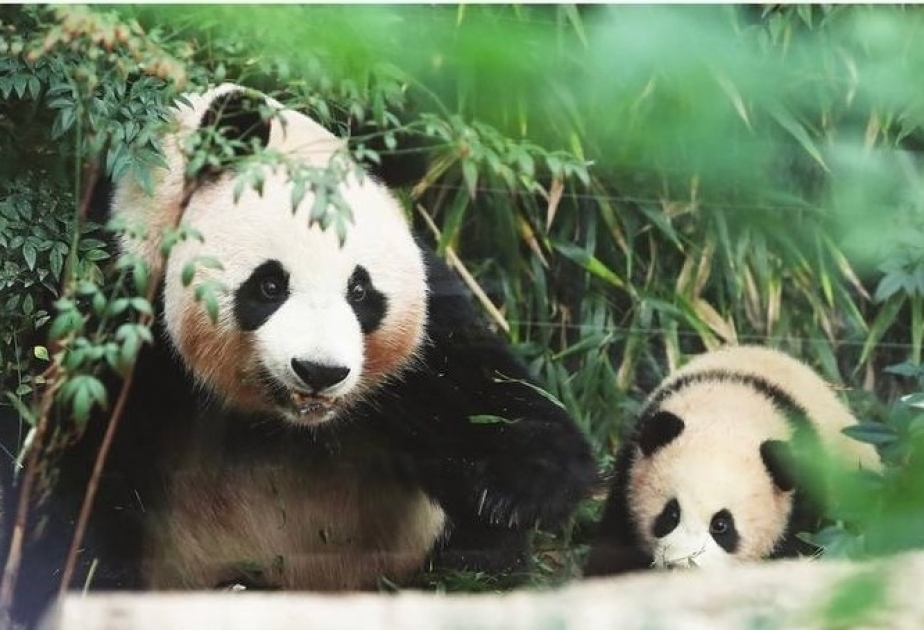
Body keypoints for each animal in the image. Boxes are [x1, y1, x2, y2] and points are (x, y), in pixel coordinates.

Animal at [13, 84, 596, 623]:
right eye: (270, 285)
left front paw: (511, 490)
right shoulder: (115, 314)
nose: (320, 371)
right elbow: (74, 489)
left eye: (360, 291)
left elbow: (492, 400)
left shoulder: (425, 344)